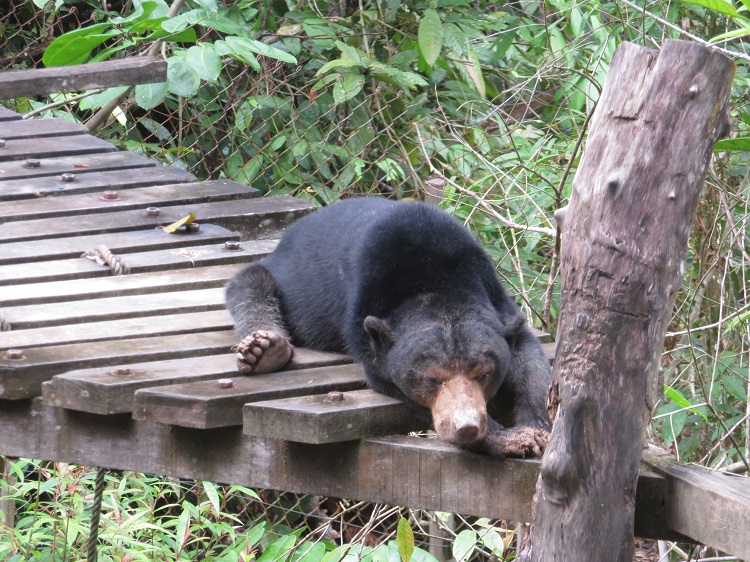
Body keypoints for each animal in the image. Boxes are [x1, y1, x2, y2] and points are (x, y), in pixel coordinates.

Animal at [225, 198, 551, 457]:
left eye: (483, 374)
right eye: (432, 379)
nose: (467, 426)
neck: (435, 285)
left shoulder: (493, 292)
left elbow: (529, 358)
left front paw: (535, 427)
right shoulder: (366, 309)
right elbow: (388, 378)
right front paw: (506, 439)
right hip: (285, 279)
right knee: (249, 284)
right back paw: (264, 349)